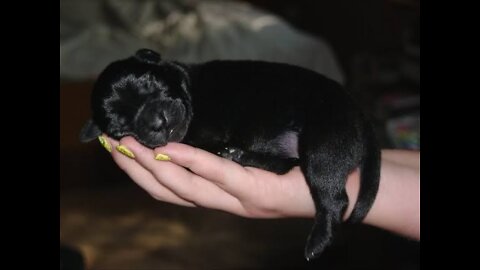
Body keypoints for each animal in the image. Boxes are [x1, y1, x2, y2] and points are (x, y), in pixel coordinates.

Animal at [80, 48, 380, 260]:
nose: (158, 122)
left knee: (334, 196)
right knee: (286, 165)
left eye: (152, 83)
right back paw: (239, 155)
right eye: (122, 128)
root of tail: (362, 117)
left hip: (324, 144)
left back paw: (317, 241)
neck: (190, 90)